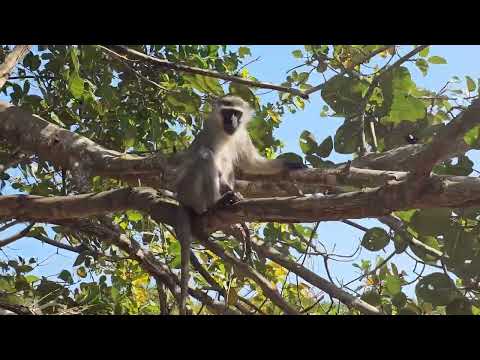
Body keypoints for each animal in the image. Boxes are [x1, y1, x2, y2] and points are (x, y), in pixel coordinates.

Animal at [174, 94, 306, 314]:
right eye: (226, 113)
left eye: (236, 113)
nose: (231, 122)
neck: (227, 134)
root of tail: (180, 197)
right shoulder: (209, 131)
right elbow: (204, 156)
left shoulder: (242, 136)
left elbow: (250, 163)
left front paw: (287, 164)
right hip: (189, 191)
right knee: (205, 157)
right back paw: (215, 204)